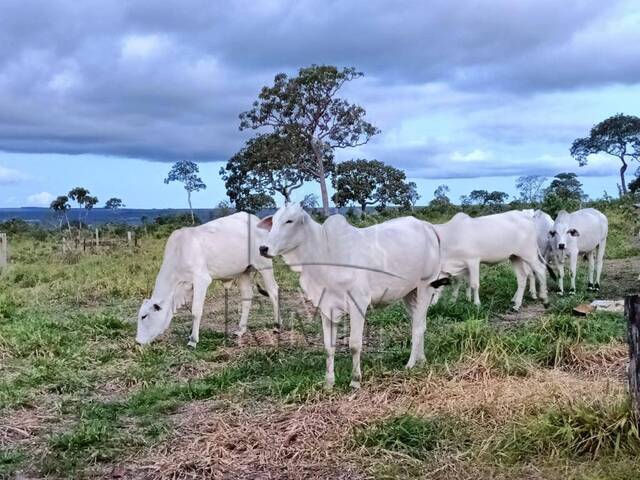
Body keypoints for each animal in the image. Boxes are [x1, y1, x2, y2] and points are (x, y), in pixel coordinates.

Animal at [136, 212, 278, 346]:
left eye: (144, 316)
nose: (138, 341)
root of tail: (256, 220)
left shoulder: (201, 280)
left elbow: (196, 311)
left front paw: (193, 340)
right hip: (243, 272)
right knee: (247, 296)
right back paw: (241, 330)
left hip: (264, 265)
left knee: (273, 291)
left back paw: (276, 326)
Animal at [255, 204, 444, 388]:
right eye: (273, 222)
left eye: (289, 221)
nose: (263, 248)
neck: (325, 254)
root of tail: (427, 226)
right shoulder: (326, 307)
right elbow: (328, 346)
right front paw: (329, 383)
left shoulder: (358, 303)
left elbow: (354, 344)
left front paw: (355, 380)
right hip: (410, 293)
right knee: (420, 323)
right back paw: (421, 361)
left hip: (426, 286)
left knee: (417, 327)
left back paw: (410, 364)